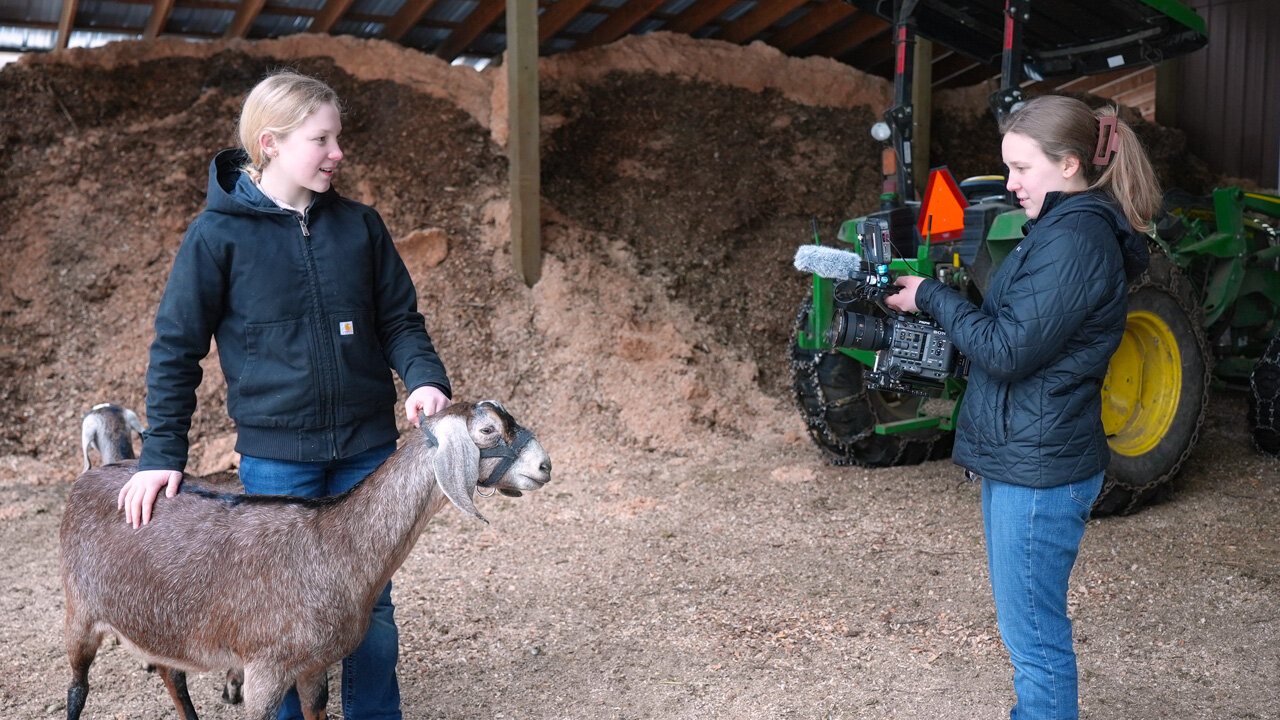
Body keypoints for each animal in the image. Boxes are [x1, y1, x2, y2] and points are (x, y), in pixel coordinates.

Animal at [60, 397, 550, 717]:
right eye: (487, 431)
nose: (545, 466)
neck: (333, 545)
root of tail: (102, 471)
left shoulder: (314, 666)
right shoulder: (266, 669)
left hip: (154, 618)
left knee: (172, 675)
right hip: (79, 611)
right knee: (78, 687)